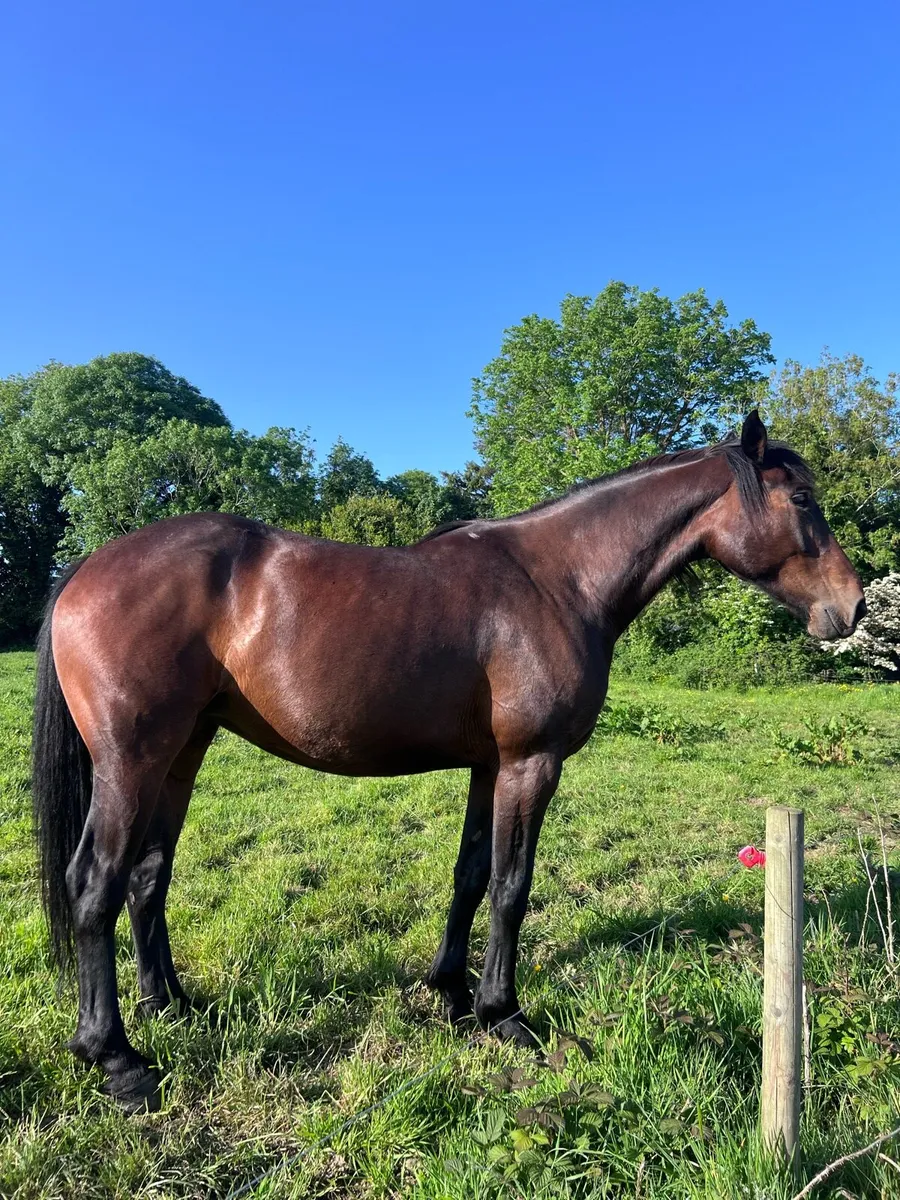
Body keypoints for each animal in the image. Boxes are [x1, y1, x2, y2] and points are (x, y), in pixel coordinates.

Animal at [32, 412, 865, 1111]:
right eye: (801, 498)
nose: (853, 608)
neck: (558, 580)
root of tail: (85, 570)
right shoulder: (532, 763)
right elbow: (511, 887)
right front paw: (505, 1015)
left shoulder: (491, 767)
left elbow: (470, 876)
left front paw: (453, 995)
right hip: (132, 762)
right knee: (96, 885)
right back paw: (117, 1059)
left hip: (182, 753)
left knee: (148, 877)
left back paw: (169, 1004)